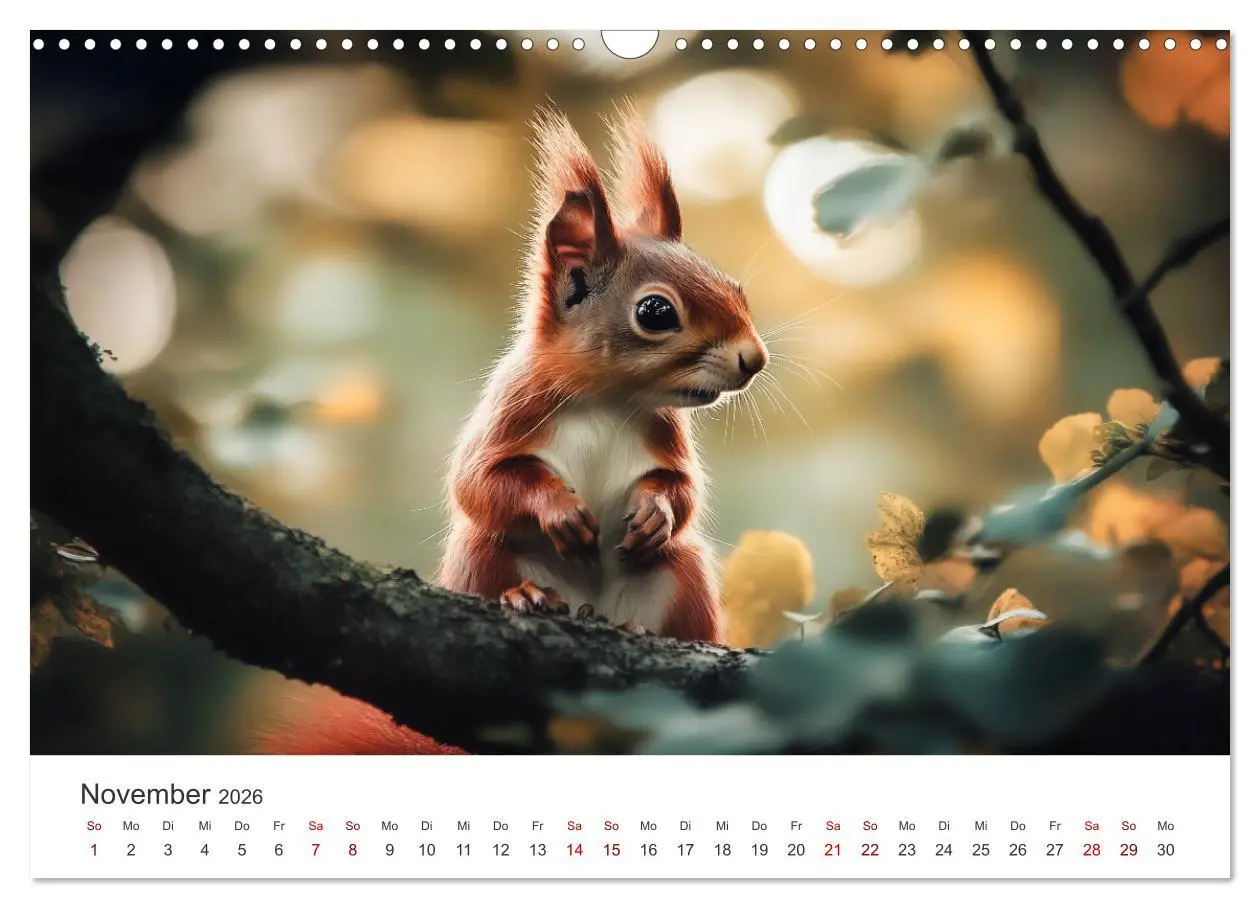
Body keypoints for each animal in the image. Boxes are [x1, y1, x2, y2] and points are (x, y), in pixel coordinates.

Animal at [256, 109, 767, 755]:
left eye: (735, 287)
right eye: (656, 313)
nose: (755, 359)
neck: (609, 400)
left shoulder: (664, 435)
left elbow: (682, 489)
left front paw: (655, 511)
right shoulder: (513, 410)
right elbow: (478, 482)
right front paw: (558, 510)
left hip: (686, 576)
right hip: (482, 553)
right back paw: (524, 597)